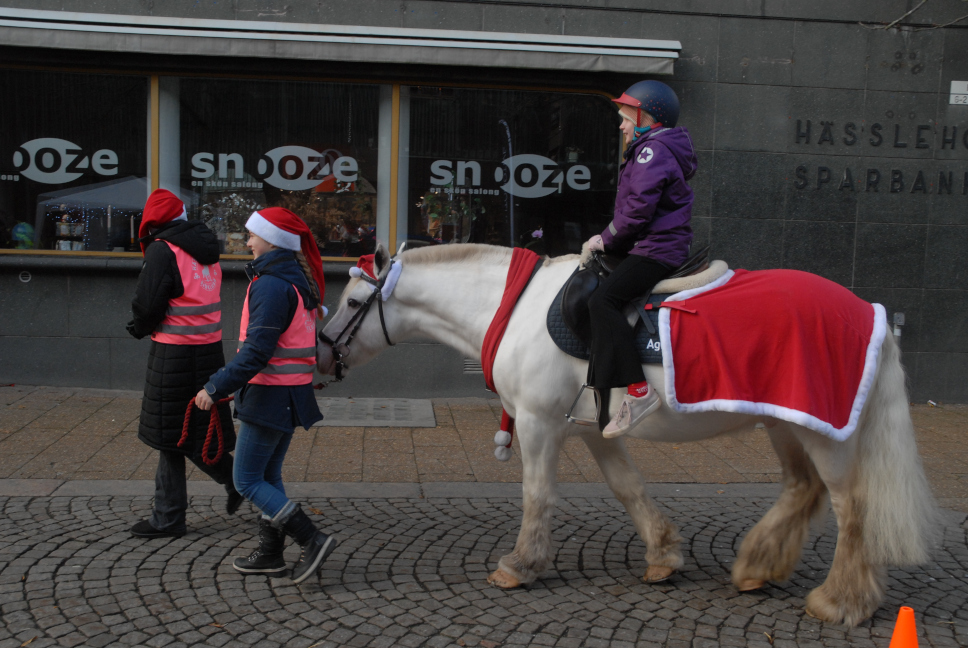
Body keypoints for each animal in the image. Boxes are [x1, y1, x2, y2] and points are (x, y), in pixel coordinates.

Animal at [318, 243, 936, 628]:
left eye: (353, 302)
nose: (320, 357)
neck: (514, 309)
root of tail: (867, 310)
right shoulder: (596, 430)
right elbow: (628, 488)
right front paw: (663, 554)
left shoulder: (540, 424)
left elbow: (537, 495)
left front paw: (520, 564)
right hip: (787, 421)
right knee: (802, 490)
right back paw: (757, 566)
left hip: (827, 434)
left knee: (852, 507)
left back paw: (842, 601)